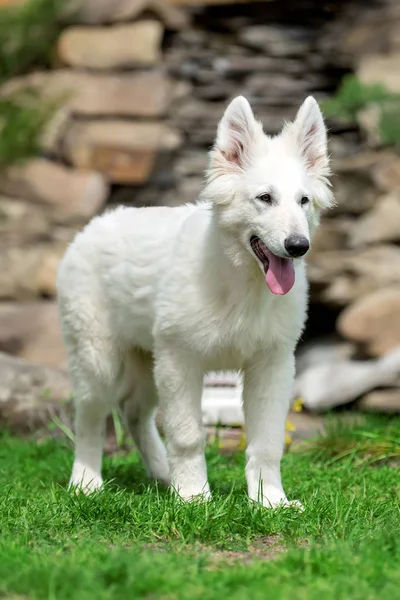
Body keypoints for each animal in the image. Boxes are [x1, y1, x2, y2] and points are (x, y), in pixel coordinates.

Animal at [56, 96, 332, 508]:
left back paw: (161, 474)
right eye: (265, 199)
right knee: (90, 419)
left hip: (146, 360)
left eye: (303, 201)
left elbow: (267, 442)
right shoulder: (180, 361)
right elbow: (187, 436)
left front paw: (270, 502)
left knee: (134, 413)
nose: (299, 246)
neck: (240, 283)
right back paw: (86, 482)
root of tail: (92, 227)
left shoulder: (272, 364)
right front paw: (193, 498)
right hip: (98, 359)